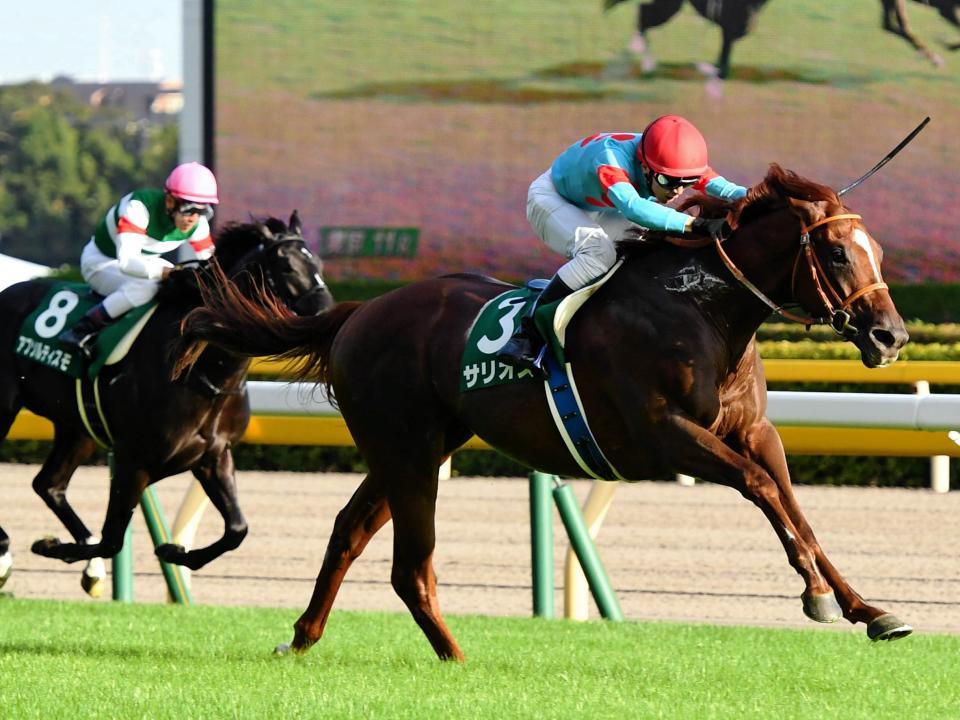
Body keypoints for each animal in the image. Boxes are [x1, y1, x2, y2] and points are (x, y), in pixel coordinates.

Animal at [0, 211, 333, 595]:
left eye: (318, 262)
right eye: (286, 266)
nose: (328, 313)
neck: (205, 375)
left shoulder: (213, 456)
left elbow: (237, 529)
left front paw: (175, 552)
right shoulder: (132, 460)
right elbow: (112, 540)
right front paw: (50, 546)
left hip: (77, 428)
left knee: (49, 485)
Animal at [175, 165, 911, 661]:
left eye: (879, 252)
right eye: (837, 252)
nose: (891, 336)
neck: (700, 307)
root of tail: (359, 312)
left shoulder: (754, 431)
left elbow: (794, 507)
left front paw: (869, 610)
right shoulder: (665, 436)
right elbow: (762, 490)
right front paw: (816, 596)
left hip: (413, 449)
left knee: (348, 532)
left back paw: (302, 638)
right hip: (408, 452)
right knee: (409, 565)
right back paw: (455, 656)